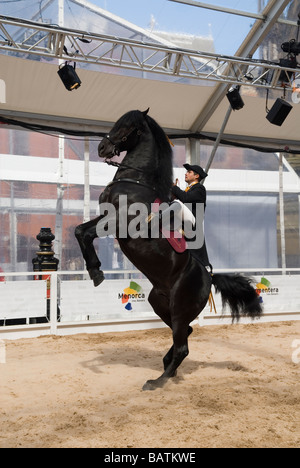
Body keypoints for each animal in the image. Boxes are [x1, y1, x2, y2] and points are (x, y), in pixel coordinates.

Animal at [75, 109, 262, 392]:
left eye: (128, 126)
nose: (102, 148)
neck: (136, 181)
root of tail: (209, 277)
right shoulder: (107, 217)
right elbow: (80, 230)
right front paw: (94, 270)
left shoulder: (121, 221)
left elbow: (85, 233)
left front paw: (96, 272)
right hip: (160, 304)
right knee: (184, 335)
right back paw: (166, 367)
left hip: (180, 307)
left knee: (183, 345)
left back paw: (157, 381)